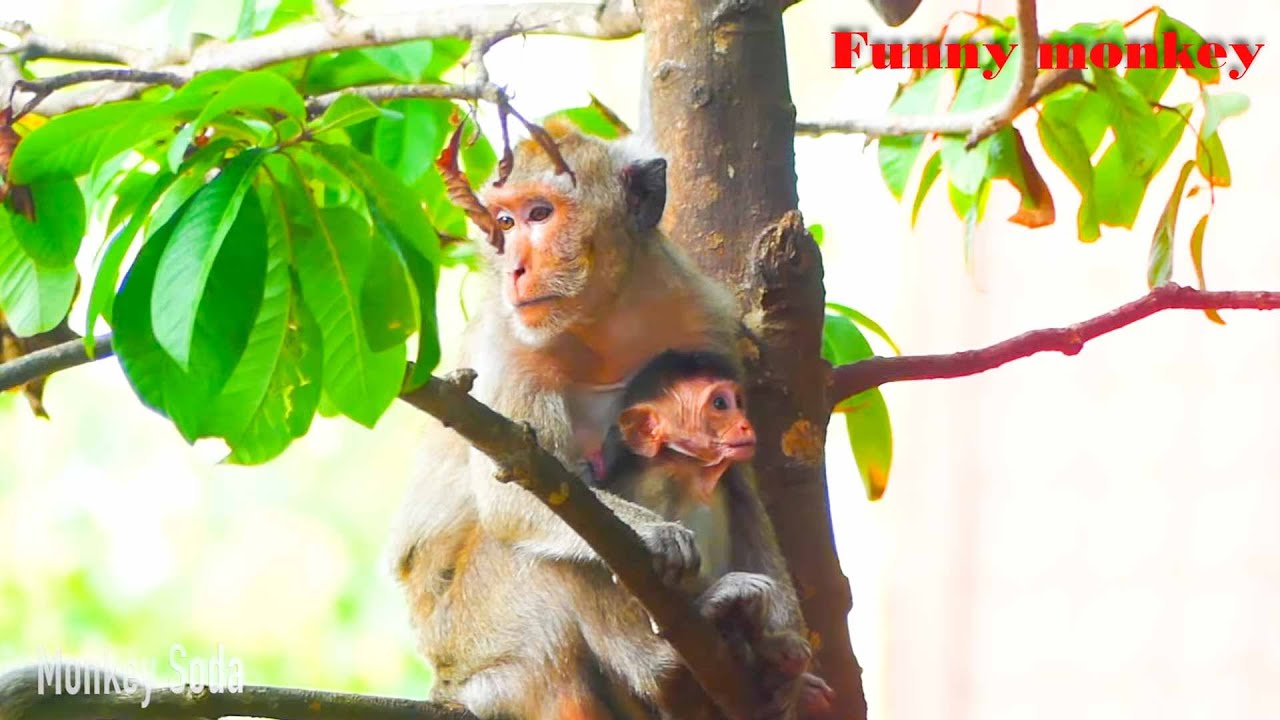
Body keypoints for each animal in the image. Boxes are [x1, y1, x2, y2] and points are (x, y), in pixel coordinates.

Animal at [592, 349, 837, 718]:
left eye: (739, 402)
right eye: (720, 404)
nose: (746, 424)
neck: (694, 475)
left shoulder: (736, 481)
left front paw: (785, 660)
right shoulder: (654, 484)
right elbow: (630, 570)